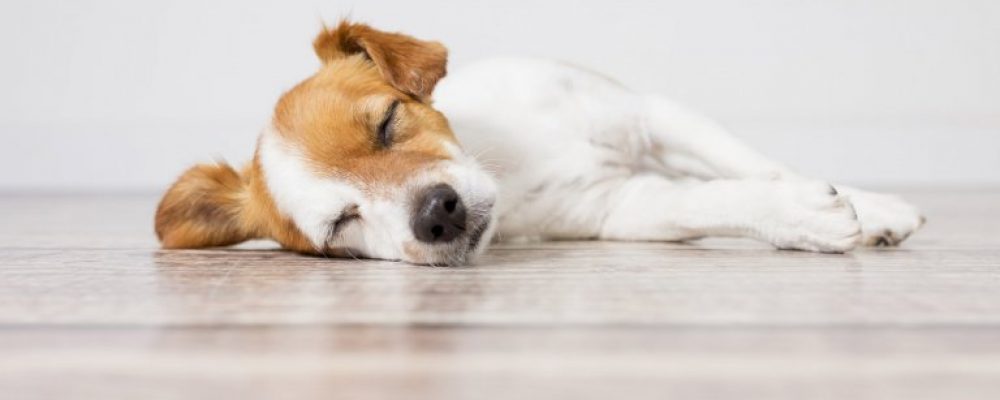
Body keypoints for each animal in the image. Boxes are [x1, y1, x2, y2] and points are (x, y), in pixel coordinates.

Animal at [155, 21, 925, 265]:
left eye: (387, 123)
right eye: (342, 224)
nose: (436, 214)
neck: (508, 157)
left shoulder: (654, 114)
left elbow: (761, 163)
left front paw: (877, 208)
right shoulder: (622, 207)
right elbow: (716, 198)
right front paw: (800, 217)